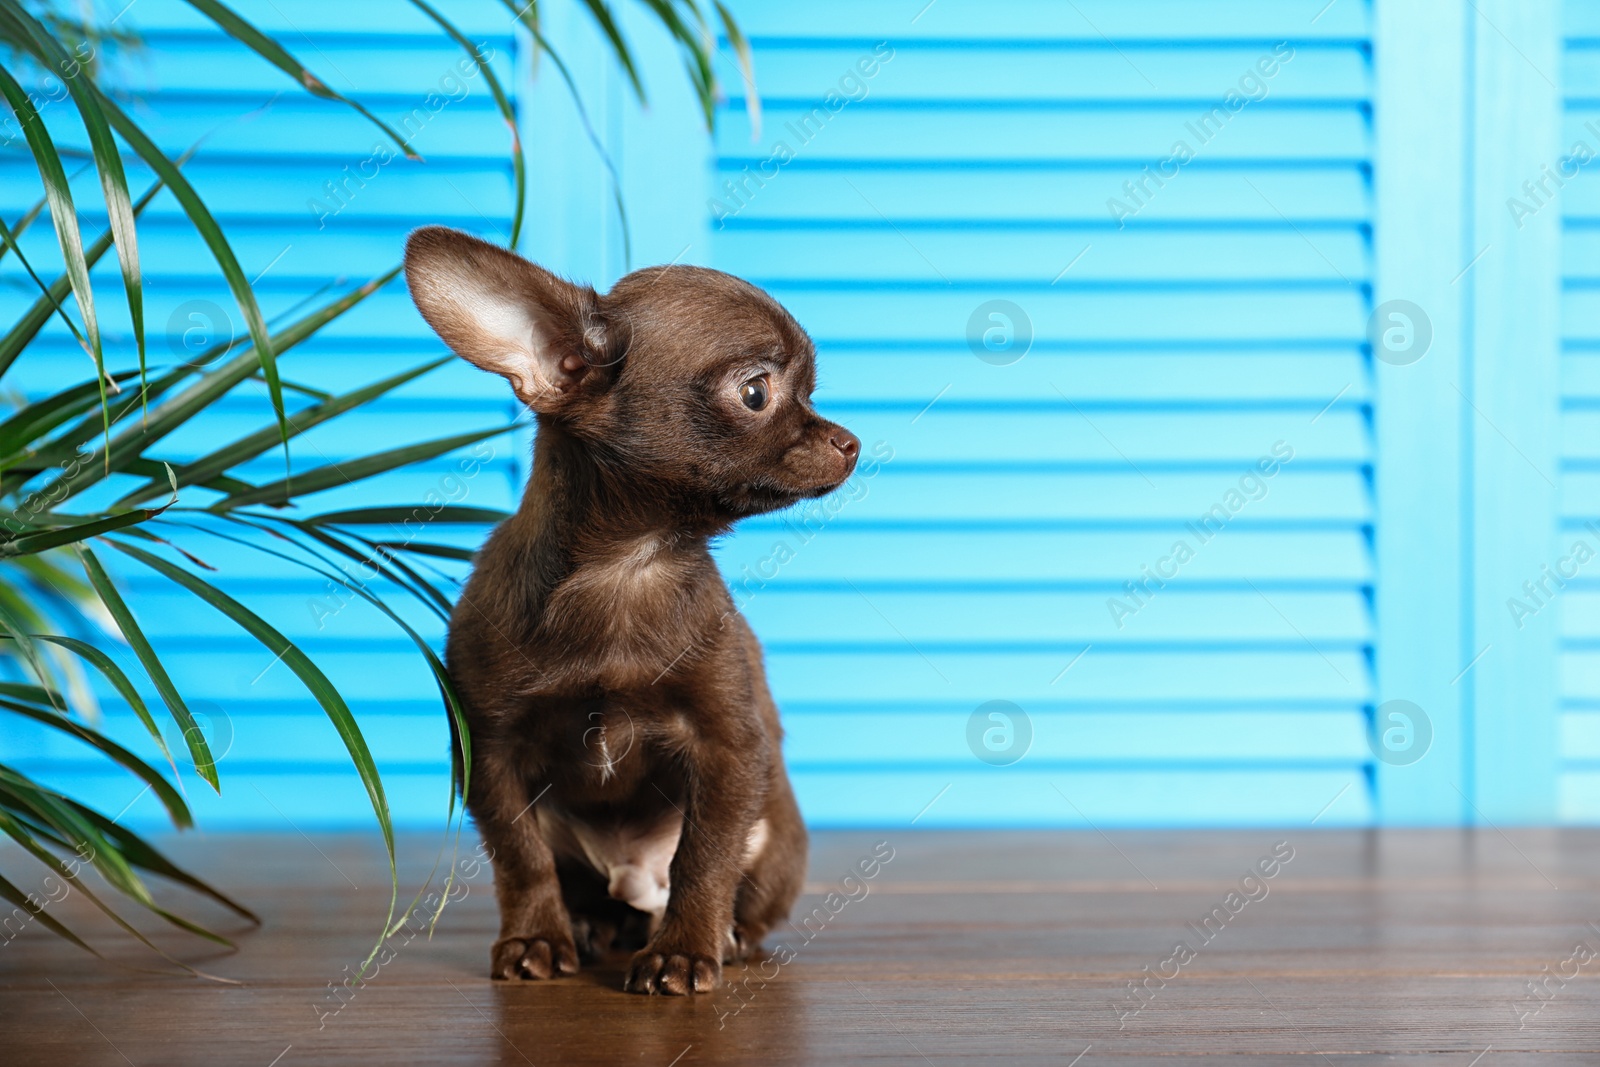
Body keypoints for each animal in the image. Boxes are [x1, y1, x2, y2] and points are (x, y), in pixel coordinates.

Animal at [406, 230, 857, 998]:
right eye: (758, 391)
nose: (850, 440)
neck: (629, 564)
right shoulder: (493, 755)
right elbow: (522, 858)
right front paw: (536, 938)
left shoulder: (728, 751)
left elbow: (703, 858)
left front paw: (684, 952)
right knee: (587, 887)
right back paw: (592, 927)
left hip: (772, 836)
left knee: (729, 889)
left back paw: (724, 937)